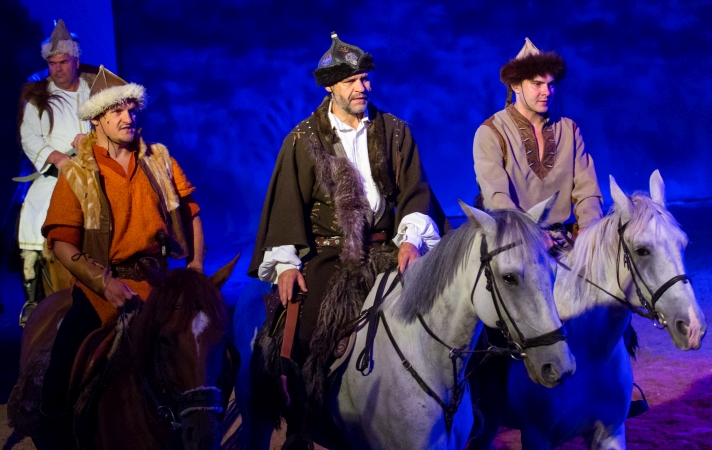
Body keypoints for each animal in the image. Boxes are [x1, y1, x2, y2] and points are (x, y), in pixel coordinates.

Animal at [469, 170, 707, 450]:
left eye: (683, 243)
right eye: (642, 250)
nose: (693, 327)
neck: (590, 351)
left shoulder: (610, 434)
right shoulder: (537, 436)